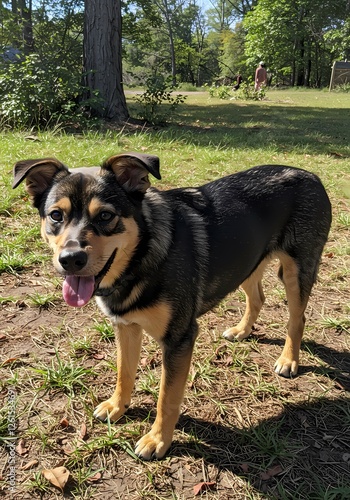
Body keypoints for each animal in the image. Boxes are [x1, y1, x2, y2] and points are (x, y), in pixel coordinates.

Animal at [13, 153, 330, 460]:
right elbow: (124, 372)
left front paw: (157, 441)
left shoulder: (179, 339)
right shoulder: (125, 326)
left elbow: (167, 398)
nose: (70, 259)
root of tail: (310, 174)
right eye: (56, 215)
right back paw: (242, 331)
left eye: (105, 216)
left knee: (297, 319)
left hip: (297, 270)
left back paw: (288, 360)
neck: (140, 258)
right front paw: (117, 406)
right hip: (246, 262)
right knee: (258, 297)